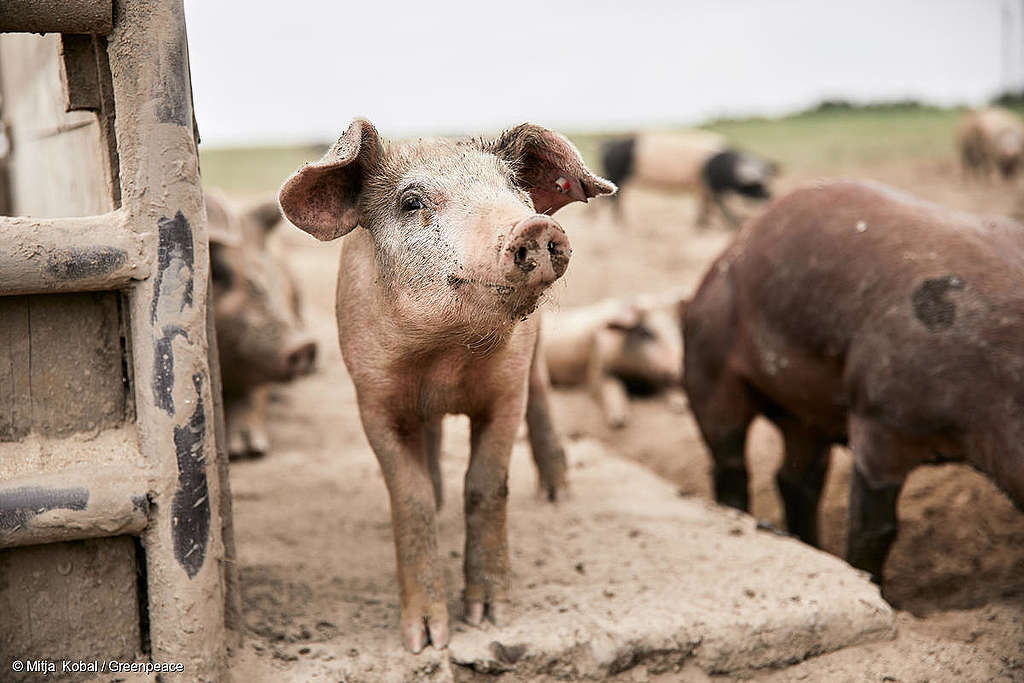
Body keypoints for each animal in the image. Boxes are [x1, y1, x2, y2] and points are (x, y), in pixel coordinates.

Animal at [205, 189, 317, 462]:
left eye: (266, 274)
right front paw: (237, 456)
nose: (303, 345)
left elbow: (254, 389)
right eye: (218, 272)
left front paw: (250, 452)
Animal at [278, 118, 614, 655]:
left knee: (542, 397)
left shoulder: (507, 391)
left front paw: (489, 616)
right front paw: (426, 641)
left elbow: (486, 485)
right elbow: (409, 498)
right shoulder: (373, 401)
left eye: (514, 188)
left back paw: (558, 494)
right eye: (412, 201)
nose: (535, 226)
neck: (445, 357)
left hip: (537, 357)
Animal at [544, 290, 688, 430]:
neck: (634, 373)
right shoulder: (598, 363)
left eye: (678, 331)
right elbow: (608, 386)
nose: (678, 368)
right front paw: (618, 421)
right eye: (647, 333)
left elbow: (663, 386)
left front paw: (680, 405)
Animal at [598, 131, 774, 229]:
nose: (769, 195)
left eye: (767, 178)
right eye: (756, 184)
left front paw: (703, 224)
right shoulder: (709, 182)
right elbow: (716, 201)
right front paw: (732, 223)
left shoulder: (701, 185)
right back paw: (621, 224)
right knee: (616, 199)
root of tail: (608, 145)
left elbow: (705, 202)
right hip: (617, 174)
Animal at [679, 179, 1024, 585]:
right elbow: (875, 529)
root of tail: (724, 254)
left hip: (804, 412)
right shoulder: (878, 419)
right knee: (730, 459)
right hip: (707, 360)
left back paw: (810, 547)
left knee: (797, 478)